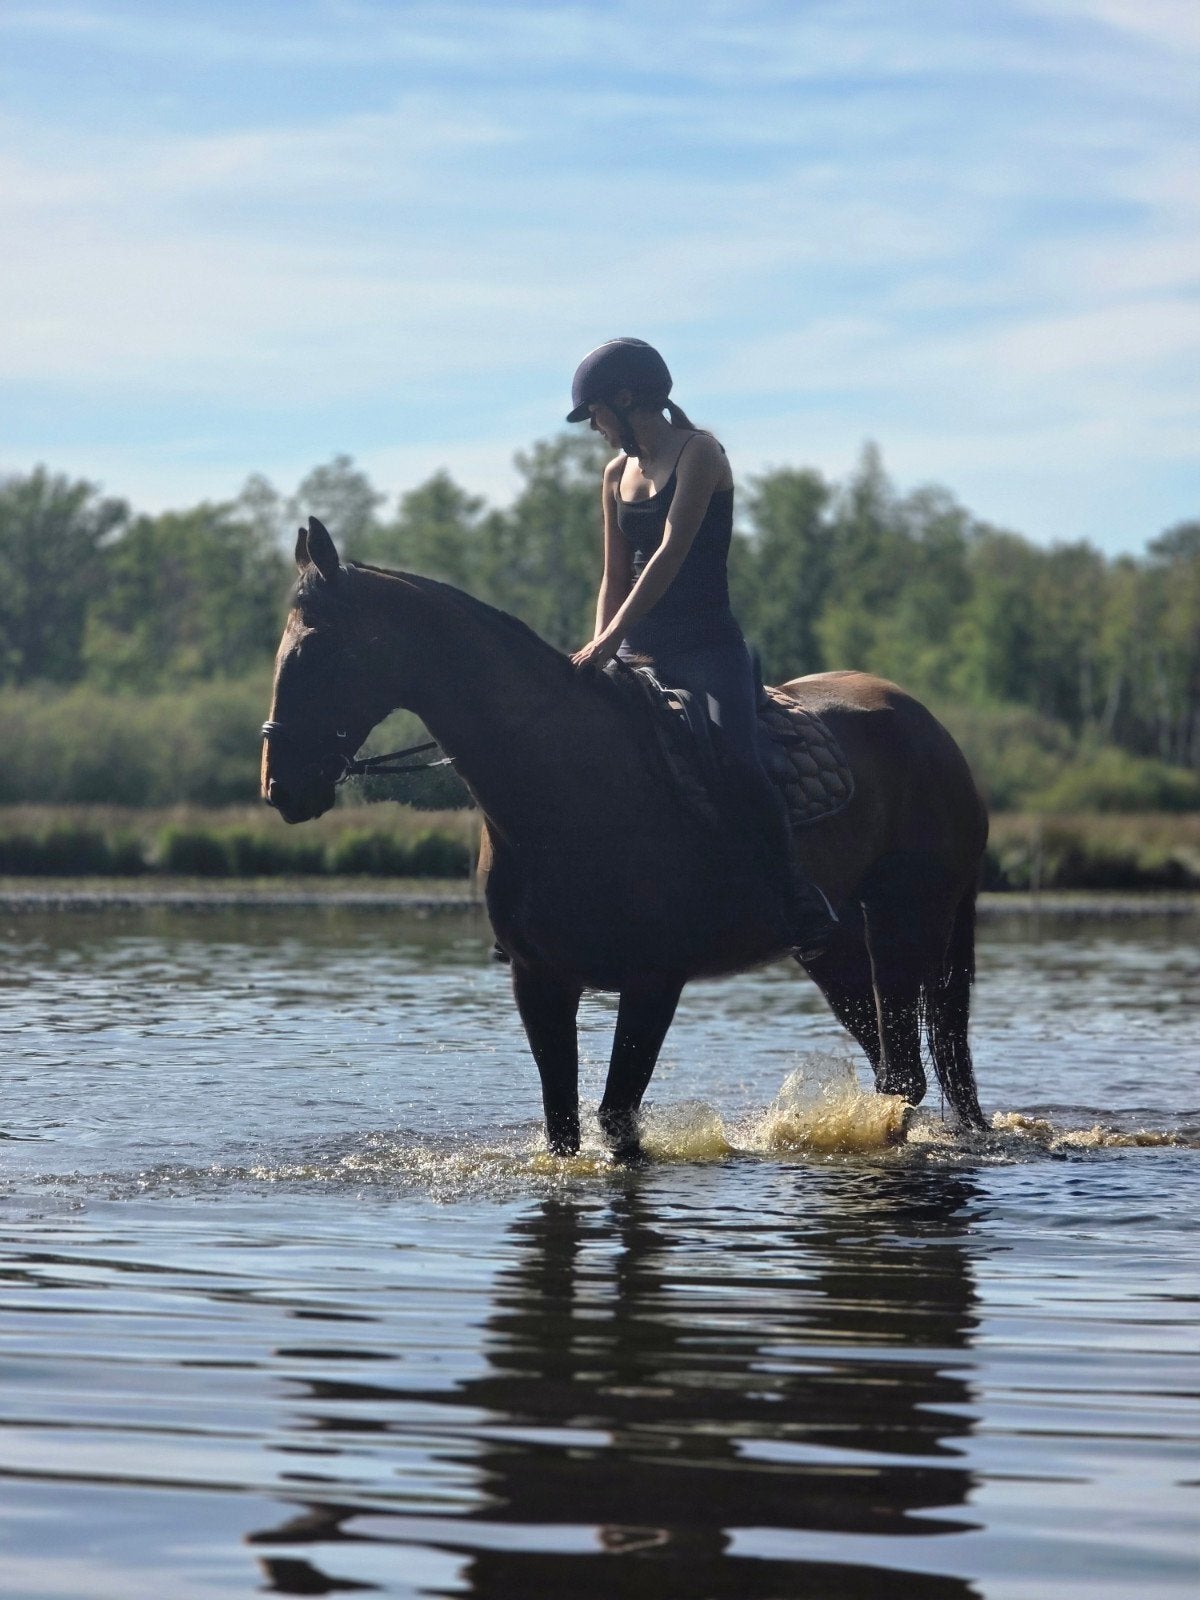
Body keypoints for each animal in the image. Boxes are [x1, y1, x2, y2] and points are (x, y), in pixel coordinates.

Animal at [262, 516, 989, 1159]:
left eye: (315, 651)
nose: (279, 787)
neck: (565, 784)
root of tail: (929, 726)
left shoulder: (653, 981)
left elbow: (618, 1119)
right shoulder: (540, 981)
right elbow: (563, 1125)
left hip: (905, 923)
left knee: (907, 1073)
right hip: (834, 949)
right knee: (893, 1071)